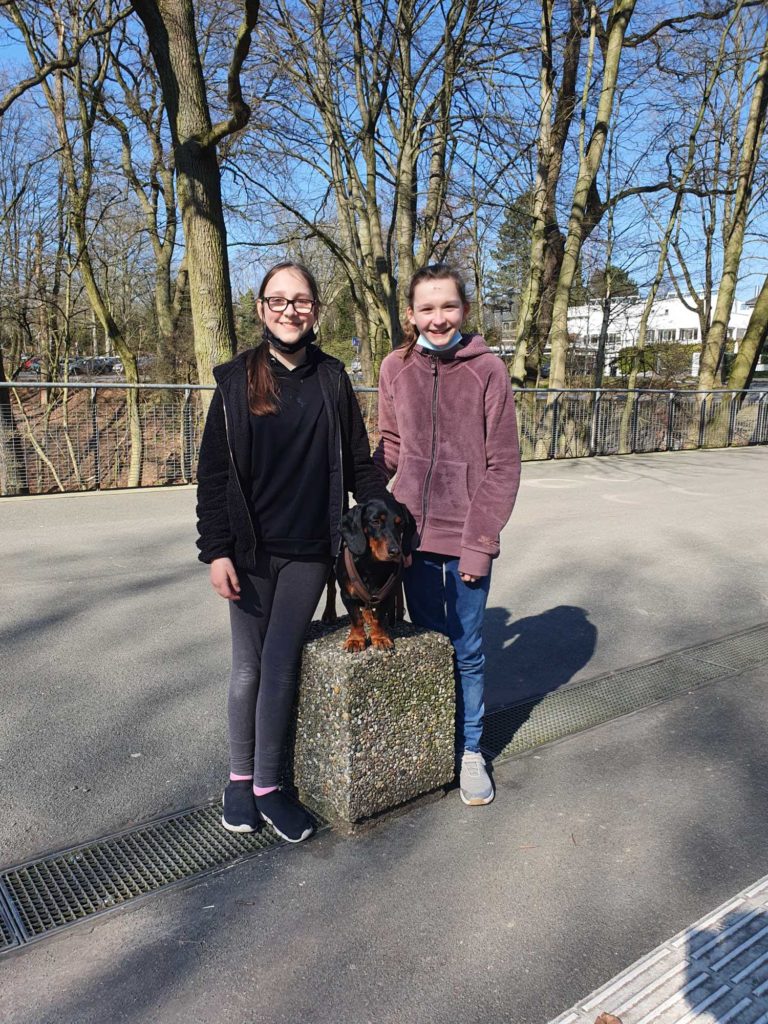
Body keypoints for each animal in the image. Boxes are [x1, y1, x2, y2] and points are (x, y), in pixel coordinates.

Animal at [322, 496, 414, 652]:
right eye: (375, 521)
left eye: (400, 523)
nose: (396, 552)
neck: (372, 565)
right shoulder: (347, 595)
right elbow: (356, 618)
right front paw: (355, 640)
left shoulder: (388, 595)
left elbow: (379, 617)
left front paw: (380, 638)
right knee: (331, 588)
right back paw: (330, 614)